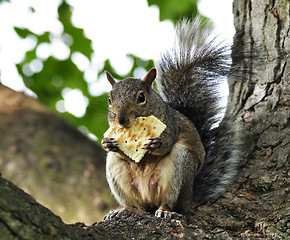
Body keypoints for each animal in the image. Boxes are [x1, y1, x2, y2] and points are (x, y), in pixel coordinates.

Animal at [101, 18, 240, 219]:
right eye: (109, 100)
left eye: (141, 97)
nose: (121, 120)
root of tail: (189, 199)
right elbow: (117, 149)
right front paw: (107, 143)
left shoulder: (171, 125)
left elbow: (166, 143)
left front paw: (155, 143)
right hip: (117, 171)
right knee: (138, 205)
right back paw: (126, 209)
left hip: (180, 166)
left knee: (170, 202)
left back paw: (166, 211)